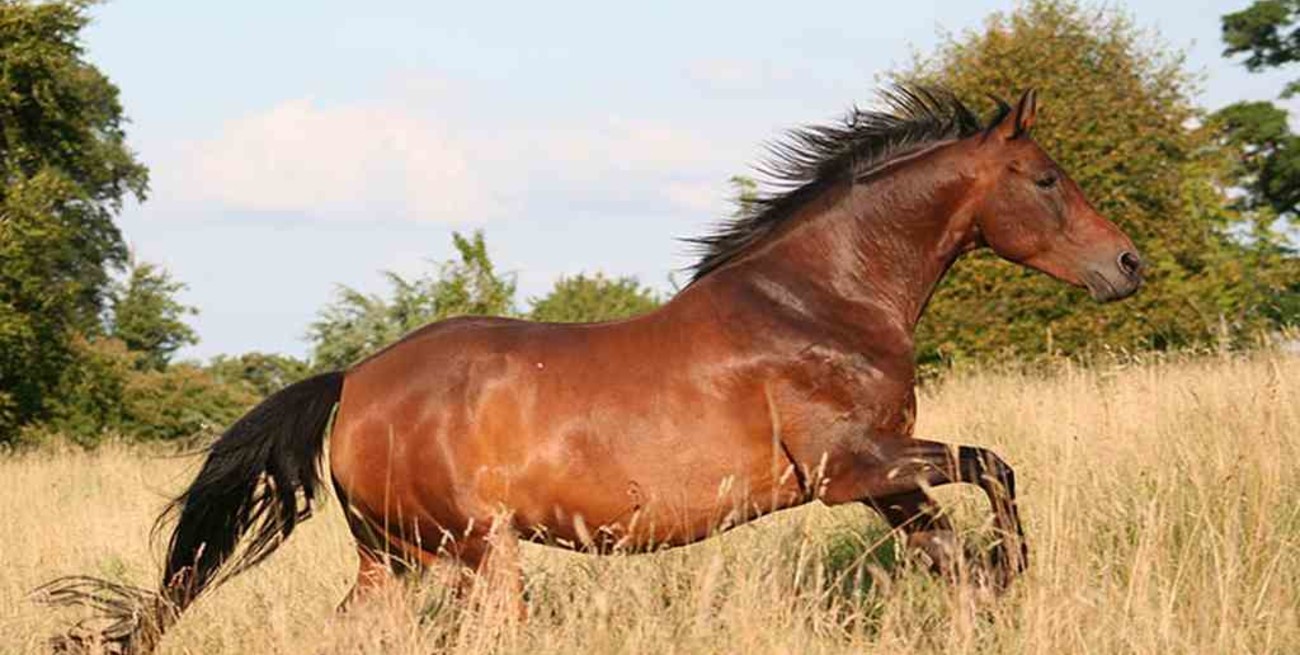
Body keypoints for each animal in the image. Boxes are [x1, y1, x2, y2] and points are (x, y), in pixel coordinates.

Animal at [42, 85, 1142, 653]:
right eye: (1046, 179)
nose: (1126, 265)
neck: (820, 300)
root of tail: (351, 385)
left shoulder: (882, 480)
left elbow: (950, 544)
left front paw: (992, 594)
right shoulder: (853, 469)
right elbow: (994, 467)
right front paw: (1014, 571)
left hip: (393, 559)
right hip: (478, 554)